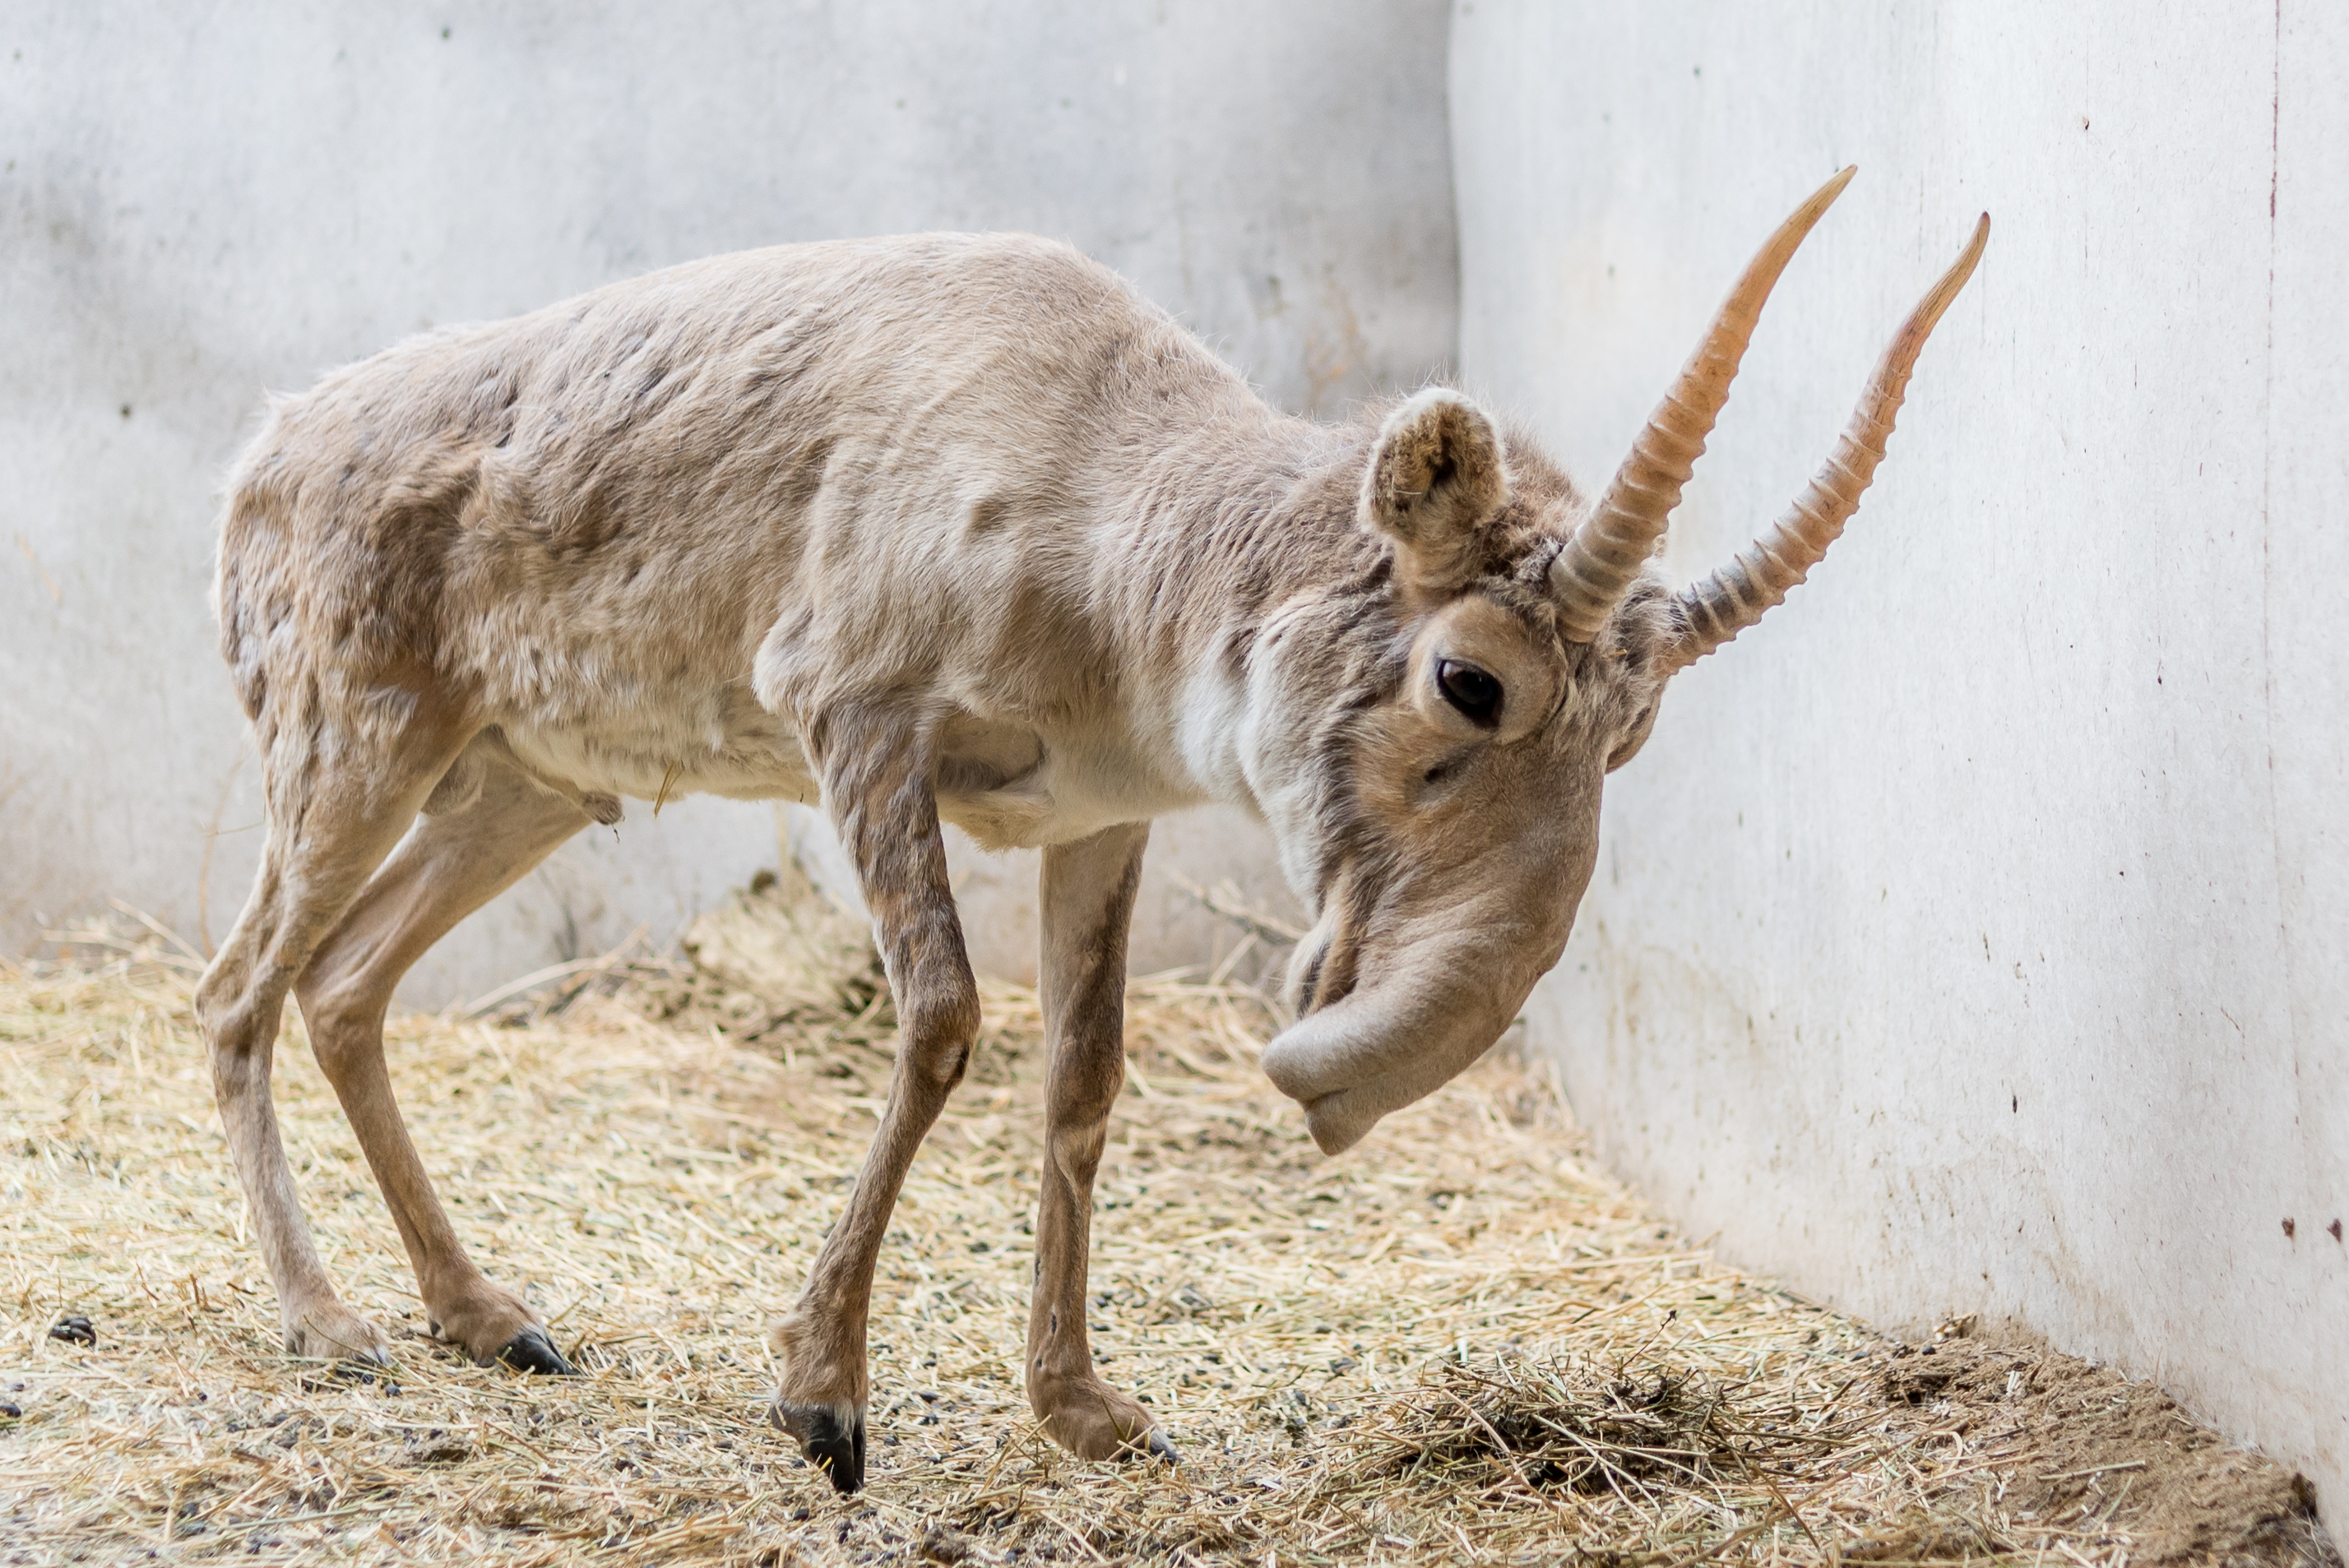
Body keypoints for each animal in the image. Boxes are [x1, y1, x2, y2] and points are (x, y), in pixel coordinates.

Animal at [206, 174, 1982, 1492]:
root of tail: (261, 450)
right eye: (1469, 677)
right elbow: (941, 1019)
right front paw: (824, 1394)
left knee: (346, 987)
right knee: (238, 991)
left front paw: (1089, 1410)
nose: (1347, 1072)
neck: (1110, 518)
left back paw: (486, 1313)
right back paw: (329, 1321)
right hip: (351, 740)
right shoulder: (854, 709)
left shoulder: (1104, 812)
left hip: (520, 781)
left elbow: (1082, 1079)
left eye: (1638, 731)